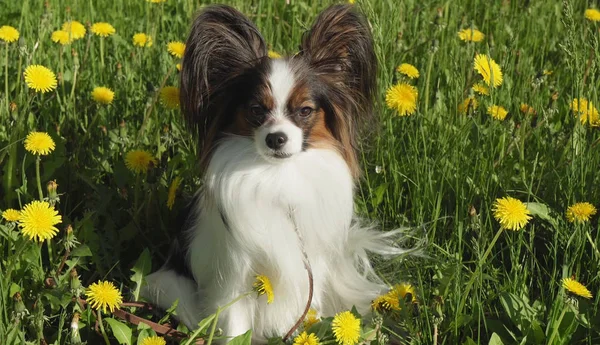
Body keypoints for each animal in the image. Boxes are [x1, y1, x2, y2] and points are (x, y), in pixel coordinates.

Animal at [144, 4, 408, 342]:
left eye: (305, 111)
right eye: (256, 110)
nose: (276, 138)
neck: (278, 176)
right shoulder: (234, 278)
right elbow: (235, 327)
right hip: (167, 284)